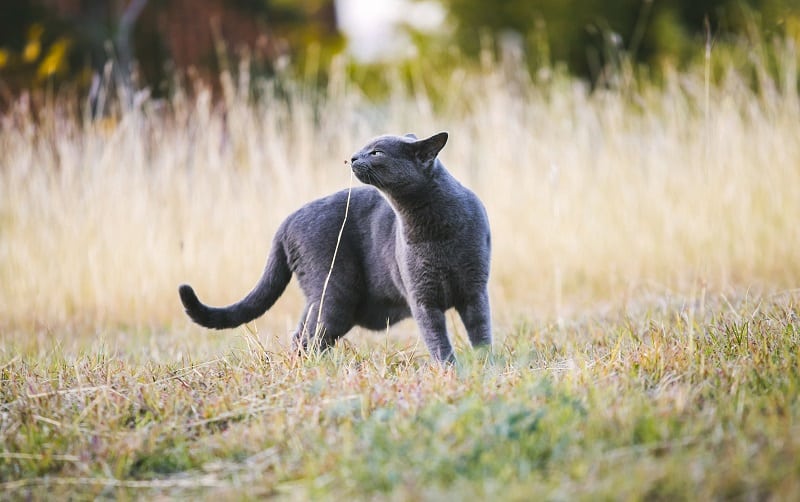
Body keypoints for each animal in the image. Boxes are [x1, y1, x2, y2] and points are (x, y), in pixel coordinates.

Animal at [180, 131, 490, 362]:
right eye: (364, 149)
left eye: (376, 152)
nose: (353, 156)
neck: (433, 228)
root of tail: (287, 221)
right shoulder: (422, 298)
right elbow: (438, 341)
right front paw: (451, 372)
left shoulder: (475, 291)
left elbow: (481, 333)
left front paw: (484, 367)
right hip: (335, 293)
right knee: (310, 339)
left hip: (324, 298)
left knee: (302, 336)